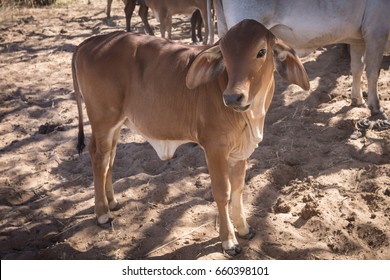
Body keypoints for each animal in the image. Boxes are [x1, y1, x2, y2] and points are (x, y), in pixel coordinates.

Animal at [71, 19, 310, 256]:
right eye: (224, 53)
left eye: (261, 51)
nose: (233, 97)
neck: (252, 114)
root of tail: (89, 42)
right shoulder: (215, 148)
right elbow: (222, 192)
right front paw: (229, 240)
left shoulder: (239, 153)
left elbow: (238, 190)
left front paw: (243, 228)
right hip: (103, 120)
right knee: (99, 158)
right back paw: (102, 213)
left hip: (116, 125)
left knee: (109, 158)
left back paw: (112, 202)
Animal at [215, 0, 390, 119]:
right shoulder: (377, 31)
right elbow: (373, 72)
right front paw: (376, 108)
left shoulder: (358, 39)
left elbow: (357, 68)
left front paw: (357, 100)